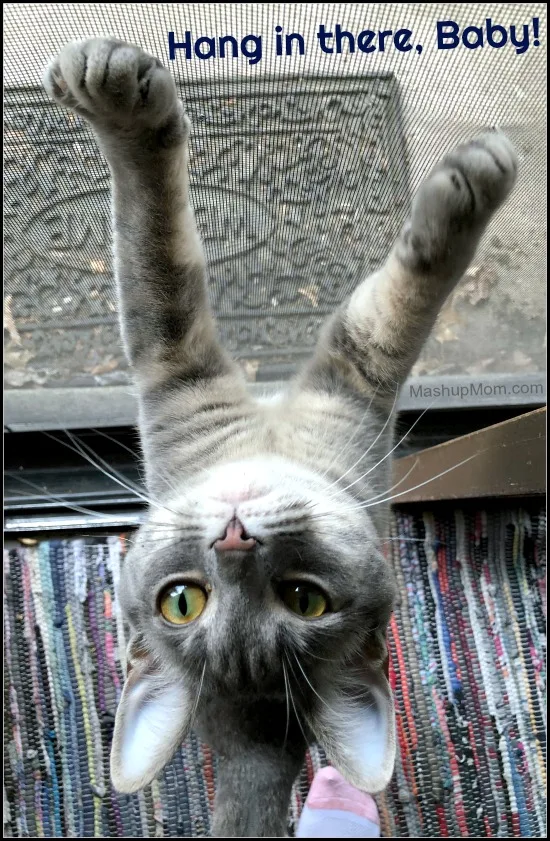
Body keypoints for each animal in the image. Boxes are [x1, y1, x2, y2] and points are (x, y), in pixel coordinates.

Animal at [44, 39, 520, 840]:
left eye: (304, 599)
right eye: (183, 601)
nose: (235, 536)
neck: (269, 450)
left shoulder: (342, 384)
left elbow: (397, 297)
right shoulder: (188, 377)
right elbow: (157, 255)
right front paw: (122, 101)